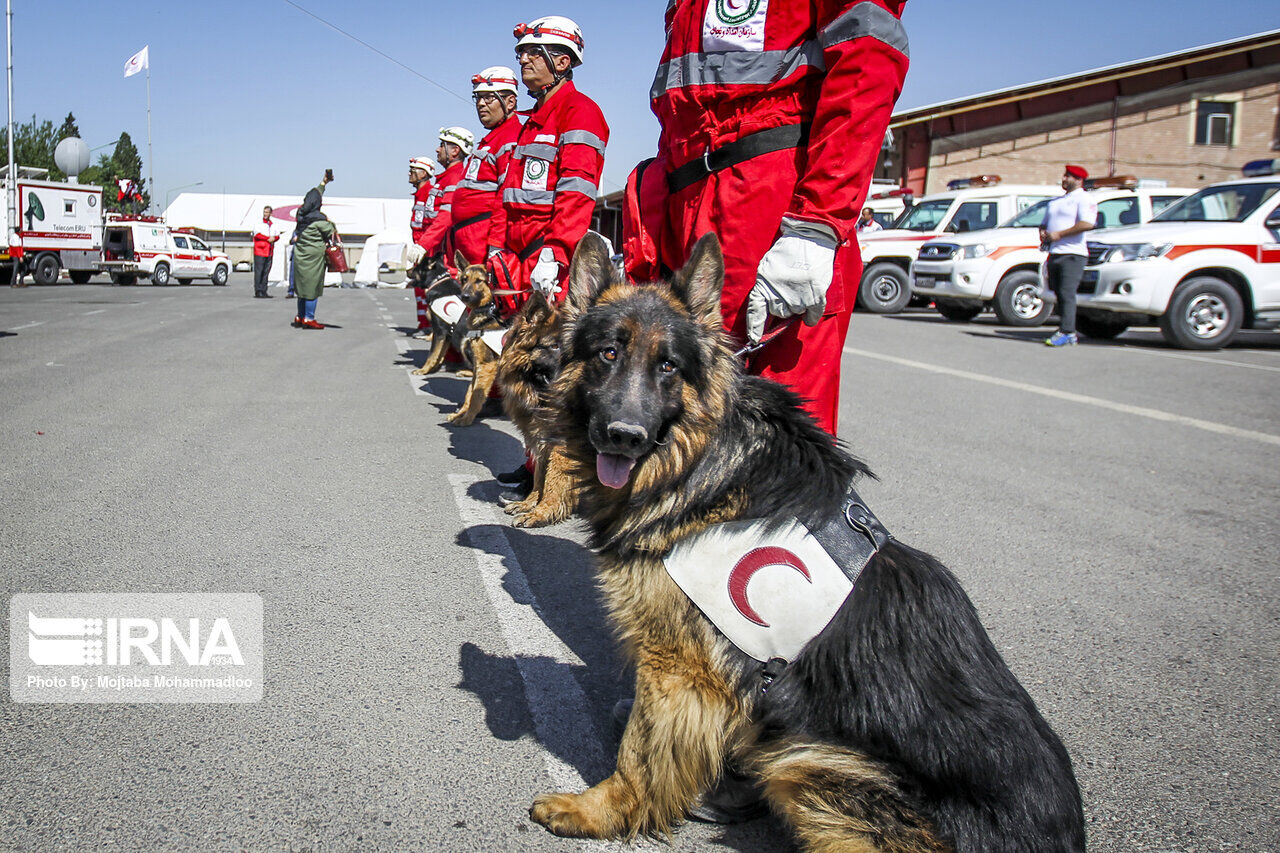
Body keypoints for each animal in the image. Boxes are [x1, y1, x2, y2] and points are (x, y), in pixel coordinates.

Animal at [445, 251, 504, 425]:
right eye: (465, 279)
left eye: (479, 281)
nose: (463, 296)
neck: (484, 316)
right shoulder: (478, 367)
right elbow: (469, 394)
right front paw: (460, 414)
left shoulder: (486, 366)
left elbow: (477, 396)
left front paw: (467, 419)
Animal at [496, 289, 578, 525]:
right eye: (554, 346)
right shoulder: (542, 441)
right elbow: (540, 477)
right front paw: (529, 503)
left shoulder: (562, 446)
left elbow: (552, 481)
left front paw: (541, 513)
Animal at [524, 230, 1085, 850]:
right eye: (607, 353)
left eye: (667, 365)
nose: (624, 436)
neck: (699, 463)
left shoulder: (677, 668)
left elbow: (640, 753)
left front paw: (597, 810)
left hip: (811, 761)